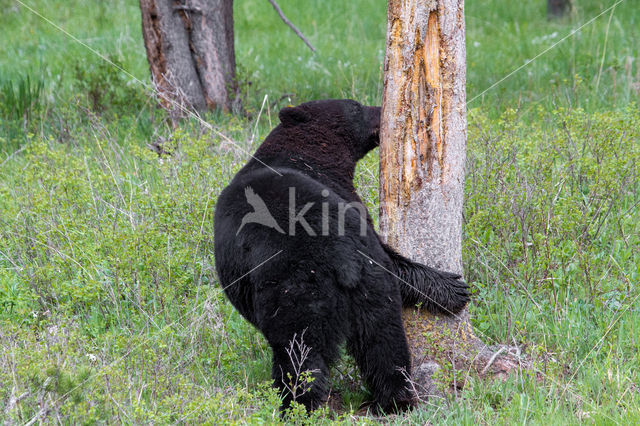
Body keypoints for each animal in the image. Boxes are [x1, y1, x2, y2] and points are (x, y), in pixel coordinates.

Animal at [212, 100, 468, 412]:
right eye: (356, 107)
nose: (381, 110)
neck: (311, 155)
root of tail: (340, 254)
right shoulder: (351, 206)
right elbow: (391, 257)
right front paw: (453, 286)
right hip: (367, 281)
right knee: (382, 339)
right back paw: (395, 399)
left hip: (300, 292)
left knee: (301, 352)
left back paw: (299, 406)